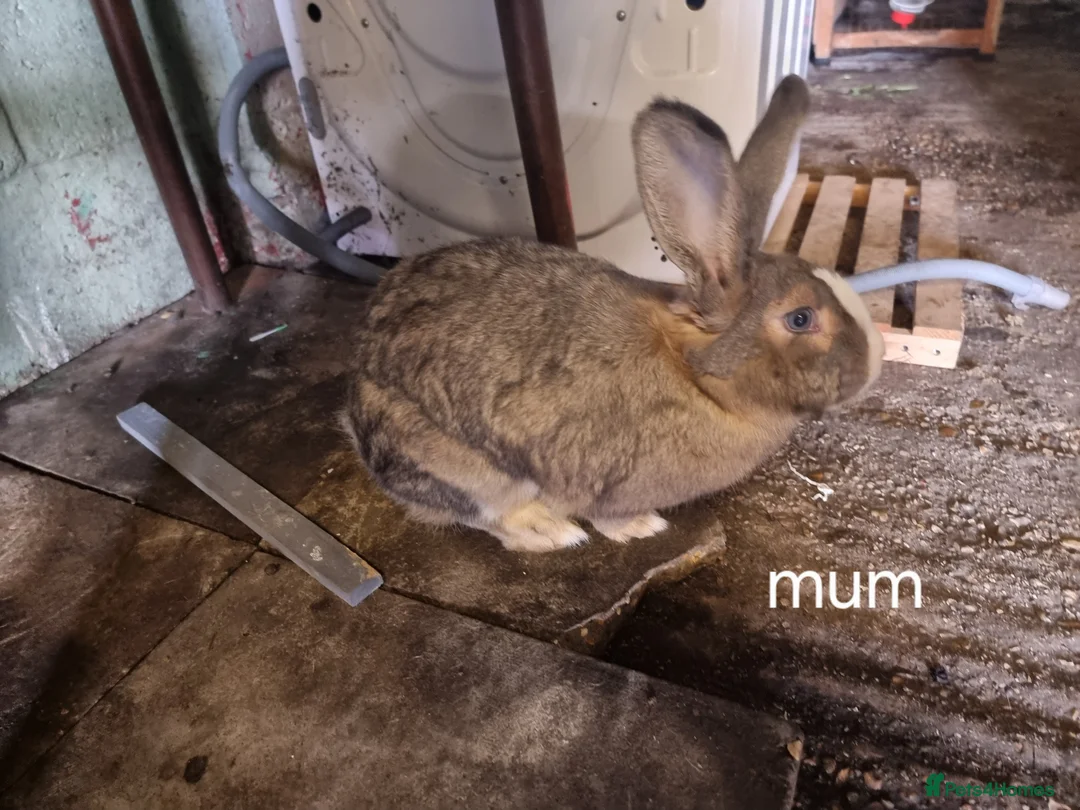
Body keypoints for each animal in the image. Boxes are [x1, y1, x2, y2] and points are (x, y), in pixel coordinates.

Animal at [342, 75, 885, 552]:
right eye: (801, 319)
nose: (877, 356)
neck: (696, 376)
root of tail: (356, 408)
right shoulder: (606, 481)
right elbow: (606, 514)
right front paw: (641, 527)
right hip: (461, 468)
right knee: (485, 514)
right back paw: (550, 533)